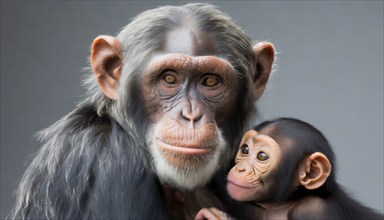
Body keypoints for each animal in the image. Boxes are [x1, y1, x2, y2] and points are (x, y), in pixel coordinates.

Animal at [196, 117, 382, 219]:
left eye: (262, 156)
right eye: (245, 150)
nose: (241, 168)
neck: (287, 202)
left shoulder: (313, 211)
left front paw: (220, 217)